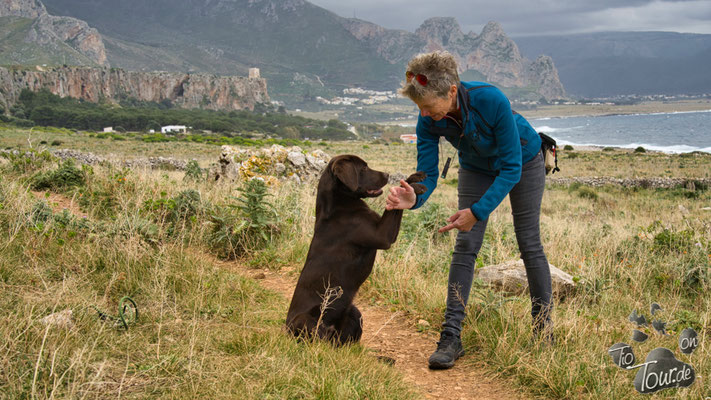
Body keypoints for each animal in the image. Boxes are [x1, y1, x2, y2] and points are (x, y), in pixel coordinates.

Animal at [286, 155, 426, 346]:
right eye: (364, 169)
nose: (387, 174)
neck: (339, 204)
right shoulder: (383, 235)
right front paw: (411, 188)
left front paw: (414, 180)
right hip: (305, 320)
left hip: (354, 311)